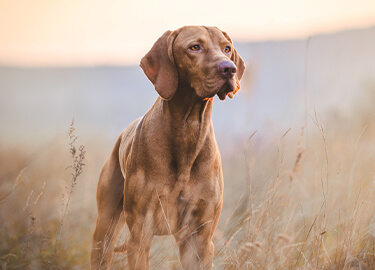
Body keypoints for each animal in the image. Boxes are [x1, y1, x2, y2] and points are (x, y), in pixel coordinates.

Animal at [89, 25, 245, 270]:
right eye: (195, 47)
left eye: (227, 48)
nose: (229, 69)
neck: (188, 131)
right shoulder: (140, 234)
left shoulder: (200, 239)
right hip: (105, 228)